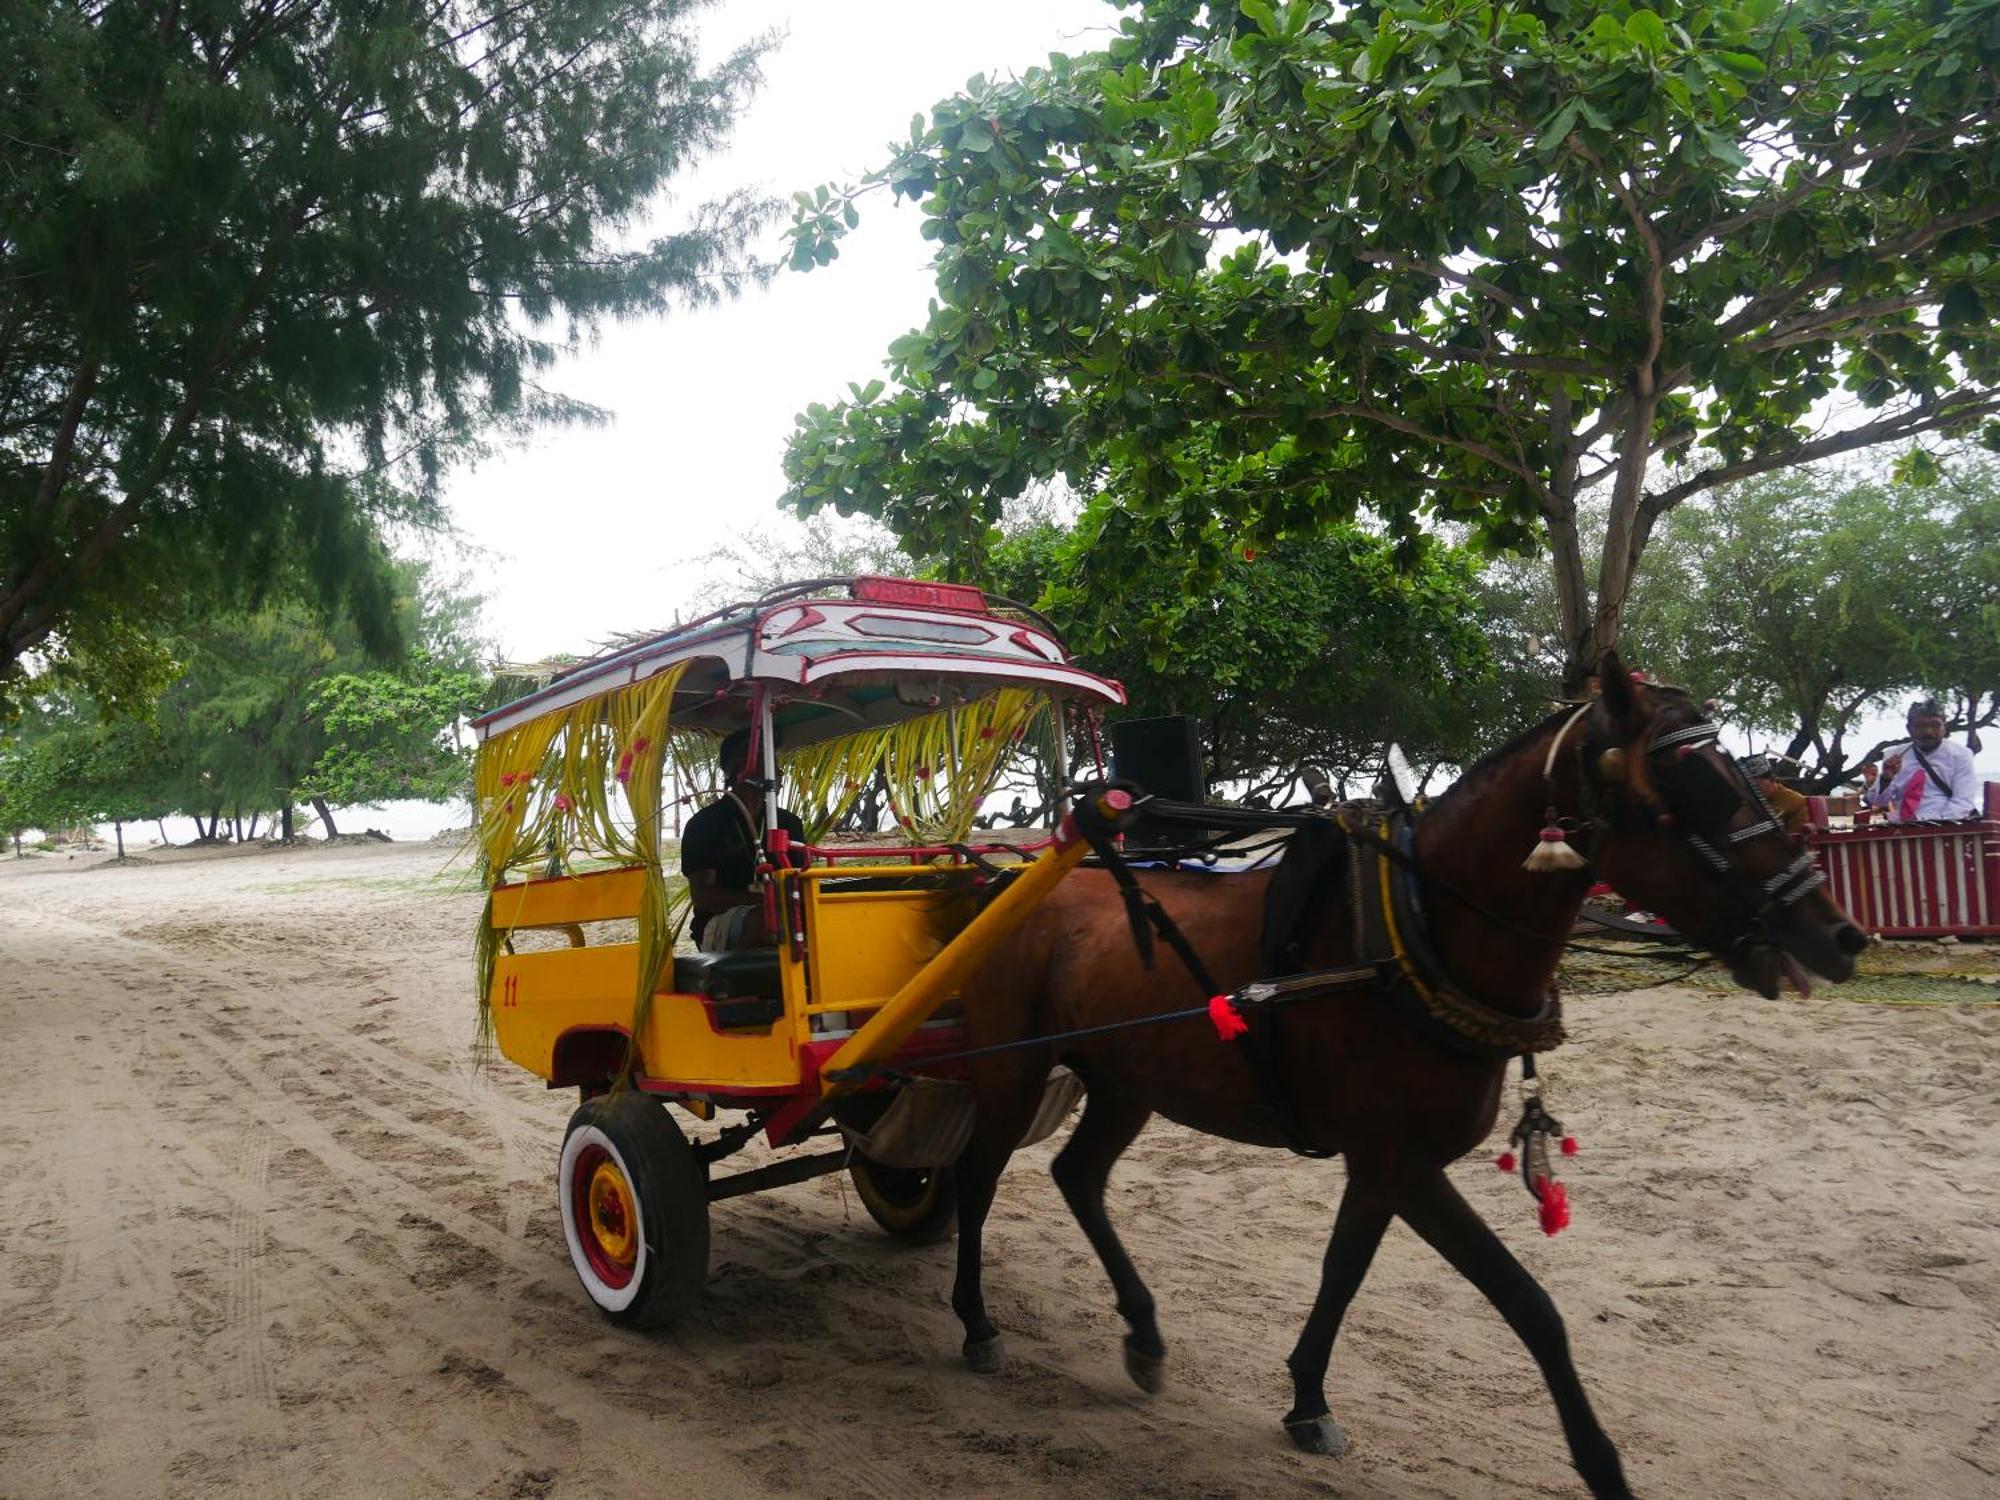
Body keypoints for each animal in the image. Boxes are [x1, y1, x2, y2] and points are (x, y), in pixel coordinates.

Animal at [944, 664, 1864, 1500]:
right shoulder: (1403, 1164)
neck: (1417, 933)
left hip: (1127, 1081)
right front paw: (1602, 1465)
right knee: (976, 1179)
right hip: (1011, 1069)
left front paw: (1308, 1400)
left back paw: (1142, 1332)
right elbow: (1529, 1304)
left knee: (1077, 1176)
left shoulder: (1382, 1166)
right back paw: (976, 1320)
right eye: (1689, 787)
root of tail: (1001, 886)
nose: (1838, 934)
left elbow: (1344, 1272)